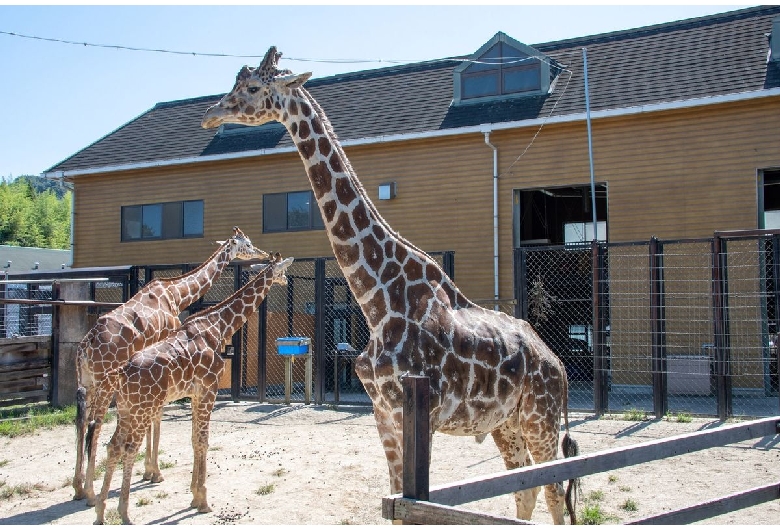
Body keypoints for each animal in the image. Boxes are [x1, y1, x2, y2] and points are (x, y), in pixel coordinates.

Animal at [74, 224, 268, 504]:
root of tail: (85, 347)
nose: (263, 253)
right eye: (248, 244)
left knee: (81, 421)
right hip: (104, 380)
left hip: (86, 381)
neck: (177, 294)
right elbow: (159, 415)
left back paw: (78, 487)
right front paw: (153, 472)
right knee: (95, 423)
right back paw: (90, 492)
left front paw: (148, 471)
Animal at [92, 253, 292, 524]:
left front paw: (194, 497)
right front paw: (203, 500)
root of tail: (122, 373)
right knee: (129, 447)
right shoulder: (209, 389)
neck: (219, 326)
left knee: (113, 446)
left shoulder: (195, 395)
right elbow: (203, 441)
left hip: (125, 409)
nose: (286, 281)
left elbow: (194, 440)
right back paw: (124, 513)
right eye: (283, 271)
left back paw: (100, 511)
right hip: (143, 408)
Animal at [201, 49, 580, 524]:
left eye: (252, 88)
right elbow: (397, 501)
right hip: (505, 424)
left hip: (539, 419)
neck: (379, 301)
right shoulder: (382, 412)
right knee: (524, 490)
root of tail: (559, 364)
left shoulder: (419, 412)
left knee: (554, 493)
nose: (210, 115)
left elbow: (417, 505)